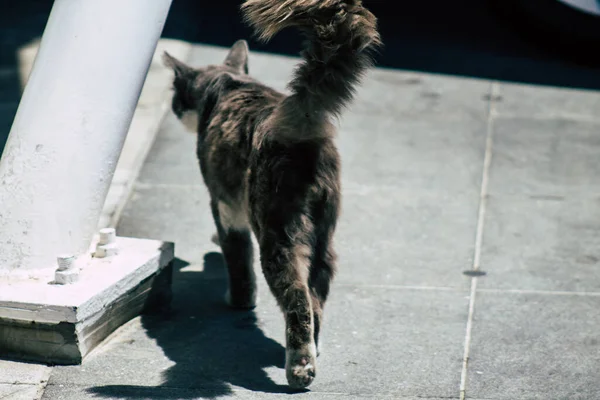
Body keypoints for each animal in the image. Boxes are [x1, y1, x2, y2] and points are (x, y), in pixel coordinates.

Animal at [164, 0, 380, 390]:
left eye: (176, 97)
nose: (174, 108)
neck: (227, 85)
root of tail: (301, 122)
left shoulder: (224, 205)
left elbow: (237, 259)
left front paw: (238, 300)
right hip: (324, 237)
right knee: (316, 296)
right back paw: (314, 348)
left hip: (277, 234)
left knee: (297, 298)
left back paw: (300, 368)